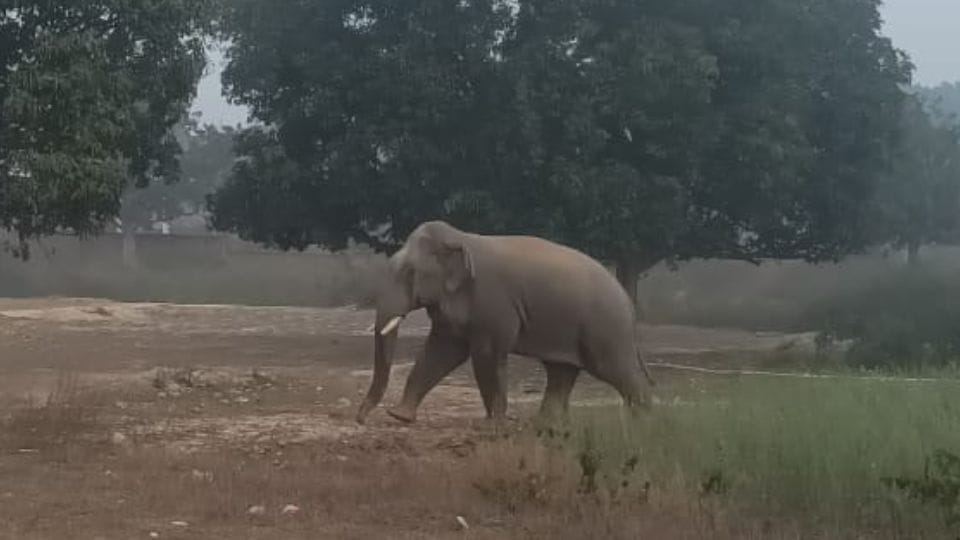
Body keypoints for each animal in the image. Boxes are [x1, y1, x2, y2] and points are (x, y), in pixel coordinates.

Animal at [355, 220, 655, 426]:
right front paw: (400, 416)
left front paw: (493, 425)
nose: (360, 418)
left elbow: (486, 355)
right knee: (561, 371)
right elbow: (441, 352)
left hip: (605, 327)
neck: (461, 237)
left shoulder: (493, 304)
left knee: (616, 369)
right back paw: (546, 424)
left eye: (409, 273)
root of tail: (627, 301)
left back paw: (643, 424)